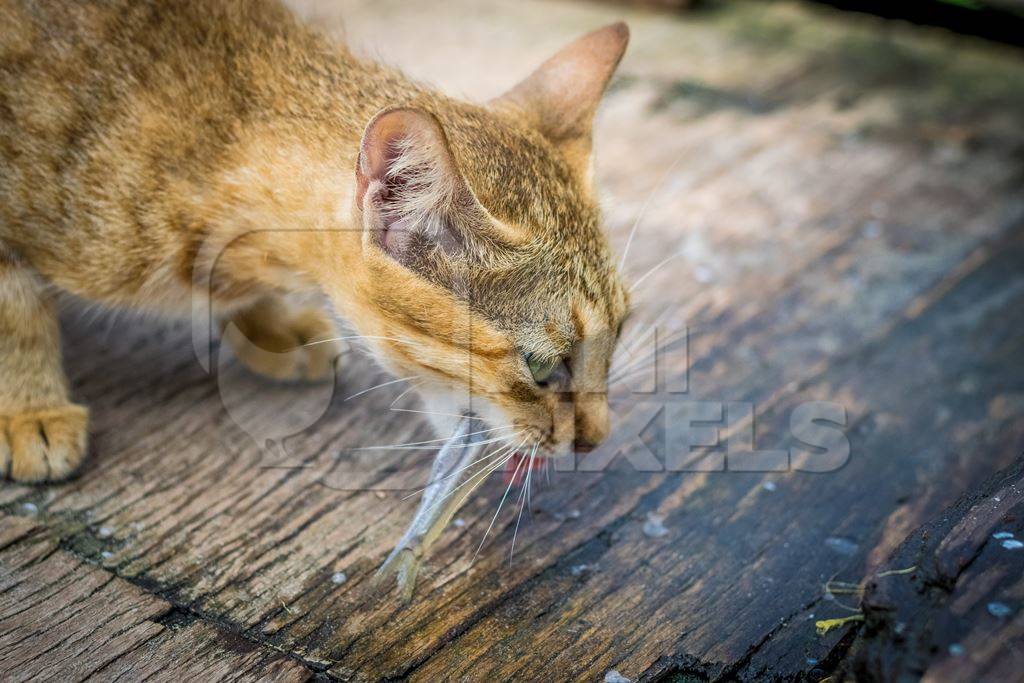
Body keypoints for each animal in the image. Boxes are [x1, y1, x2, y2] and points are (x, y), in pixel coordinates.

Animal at [0, 0, 626, 481]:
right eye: (542, 368)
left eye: (618, 337)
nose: (598, 439)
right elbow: (16, 314)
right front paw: (29, 408)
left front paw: (270, 325)